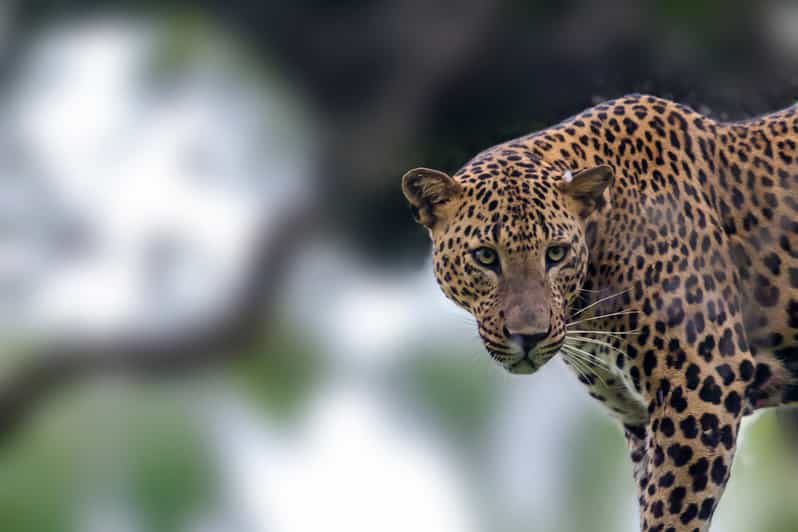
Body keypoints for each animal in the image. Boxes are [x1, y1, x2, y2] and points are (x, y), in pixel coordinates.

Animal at [404, 95, 798, 532]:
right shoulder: (639, 420)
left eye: (556, 253)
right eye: (486, 256)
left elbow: (671, 515)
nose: (529, 336)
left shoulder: (705, 383)